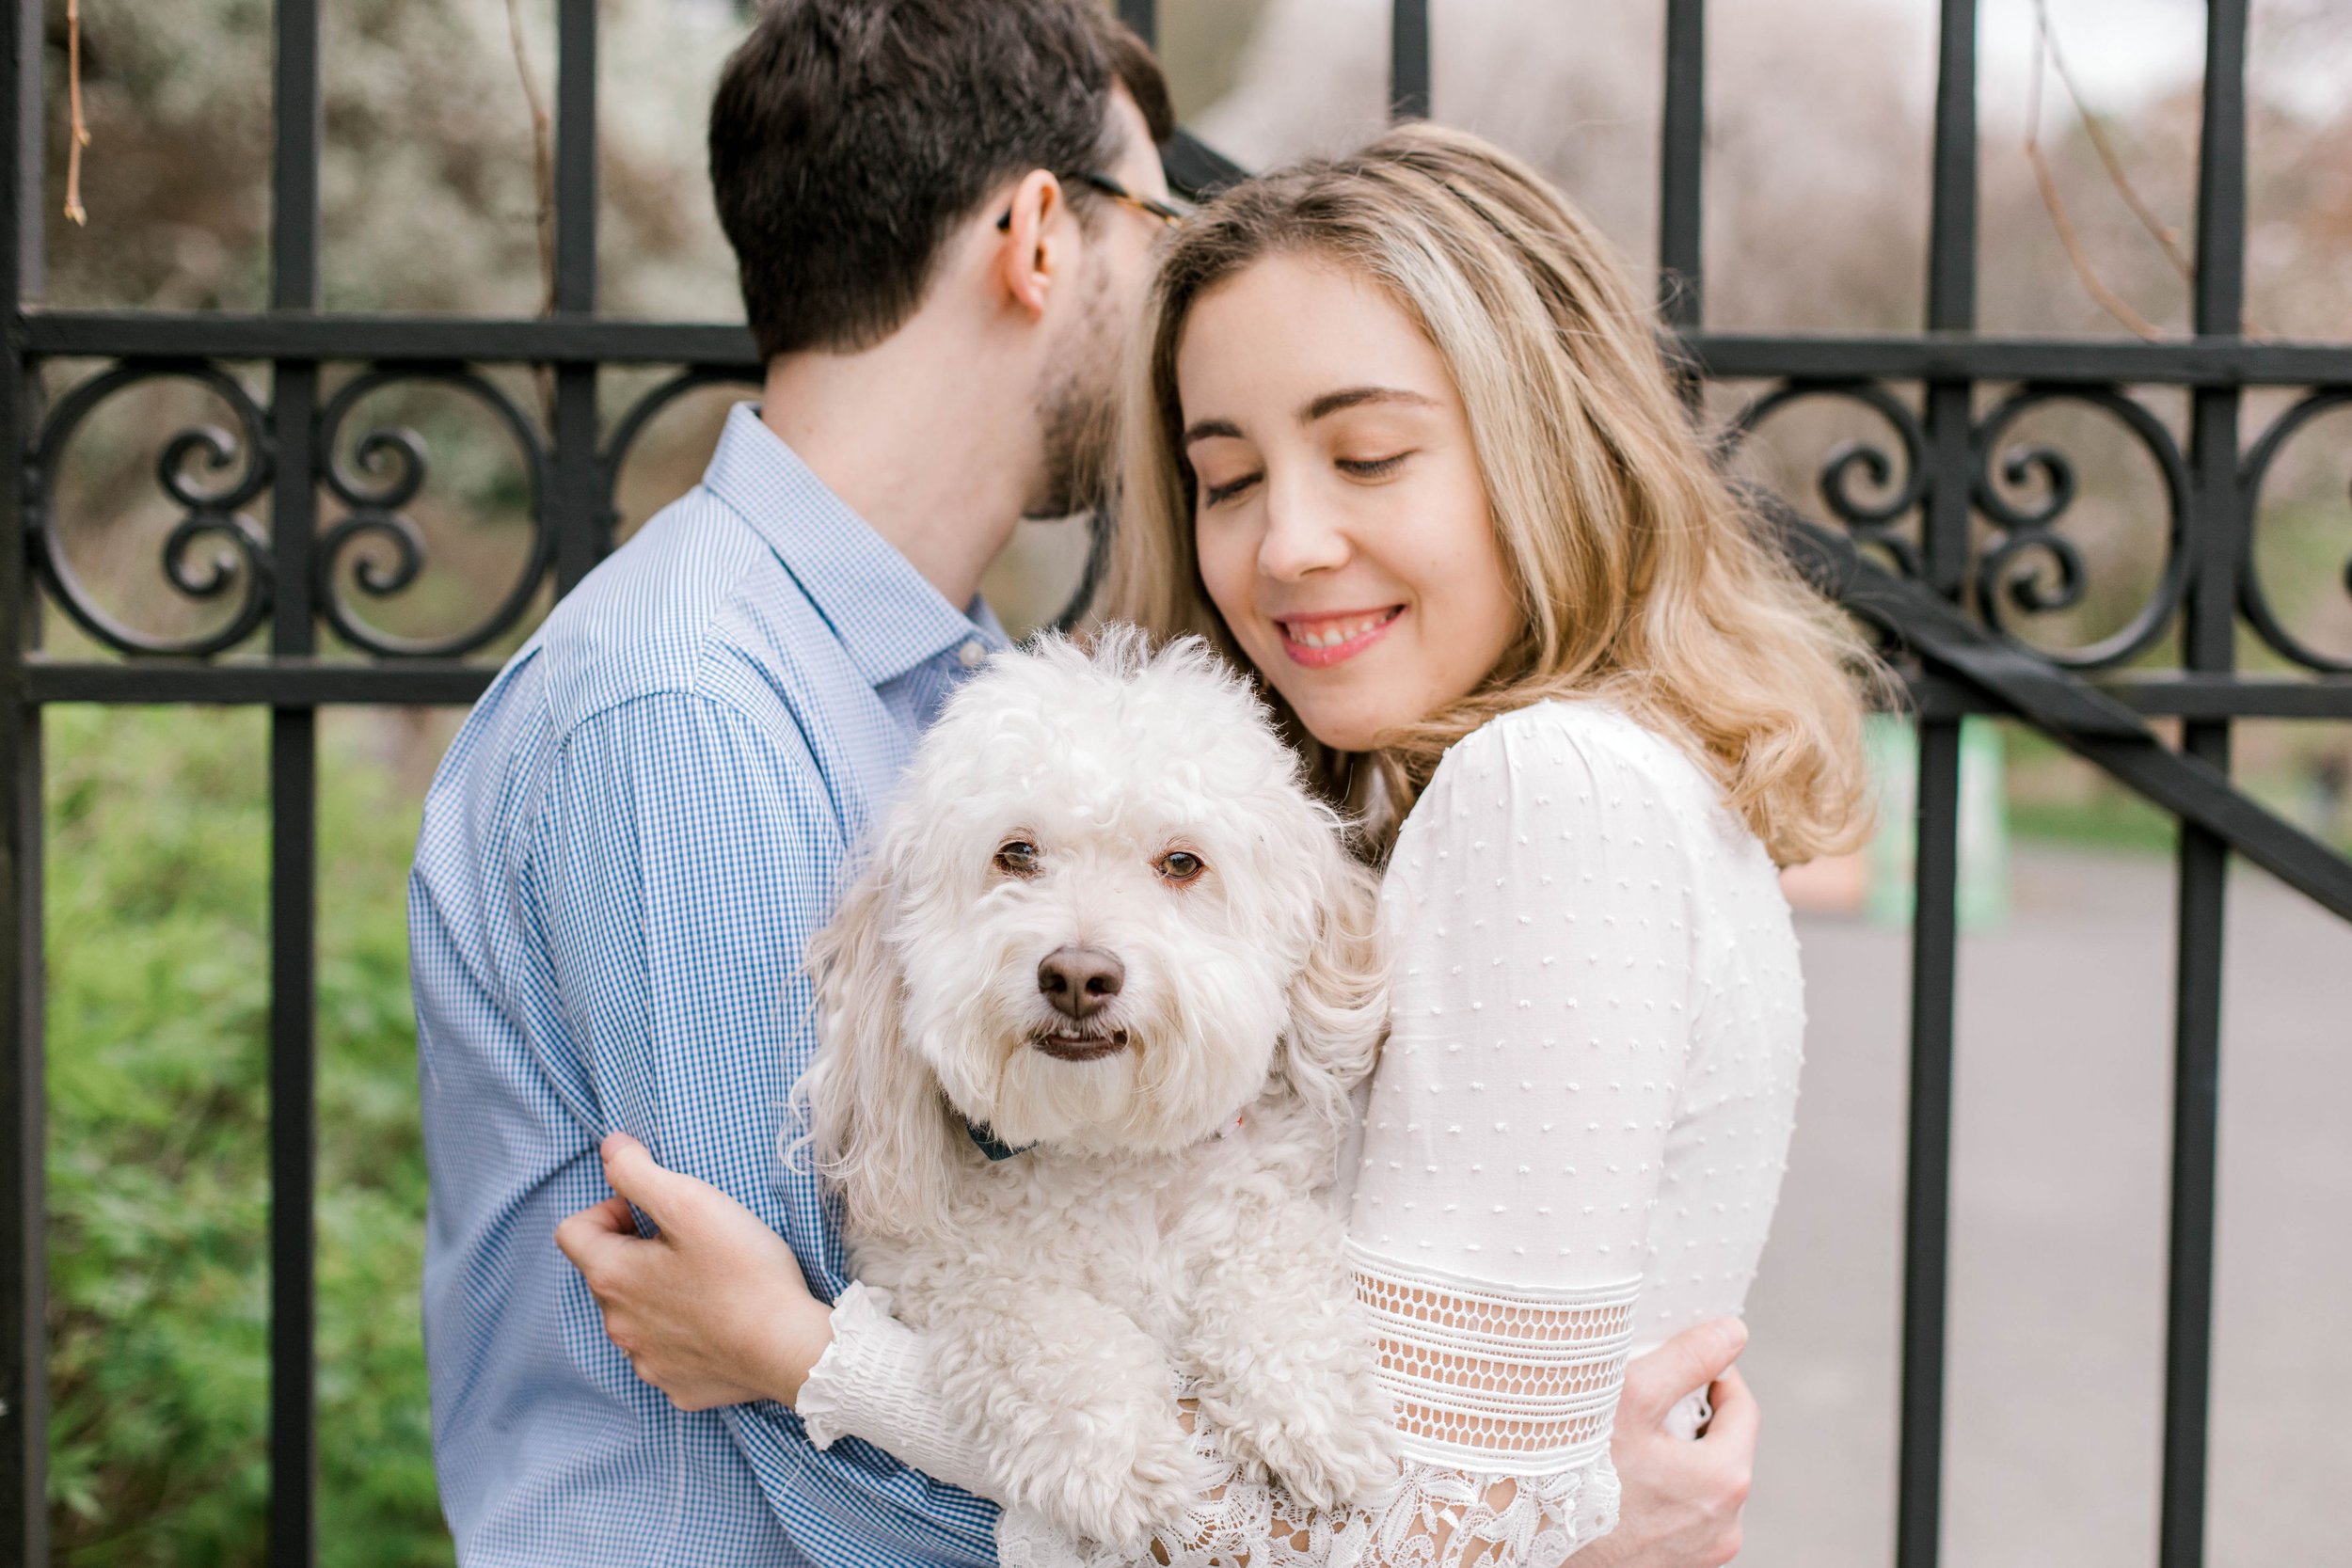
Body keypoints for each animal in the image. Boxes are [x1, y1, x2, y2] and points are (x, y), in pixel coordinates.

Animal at [800, 629, 1402, 1551]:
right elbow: (1040, 1322)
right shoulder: (935, 1269)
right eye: (1016, 853)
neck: (1109, 1152)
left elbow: (1273, 1267)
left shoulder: (1265, 1198)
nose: (1078, 975)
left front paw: (1310, 1404)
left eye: (1182, 862)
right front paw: (1114, 1452)